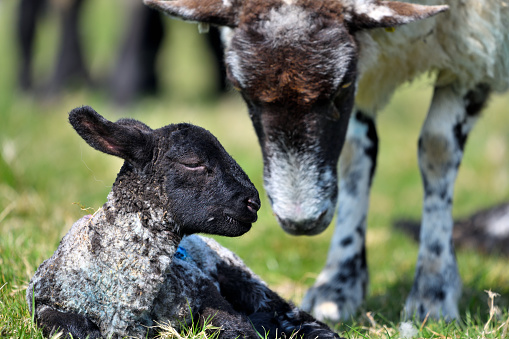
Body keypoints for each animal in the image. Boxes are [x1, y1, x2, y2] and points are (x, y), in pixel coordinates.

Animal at [25, 105, 340, 338]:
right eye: (193, 162)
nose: (254, 203)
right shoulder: (44, 301)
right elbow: (69, 327)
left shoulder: (202, 289)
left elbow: (237, 328)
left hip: (243, 276)